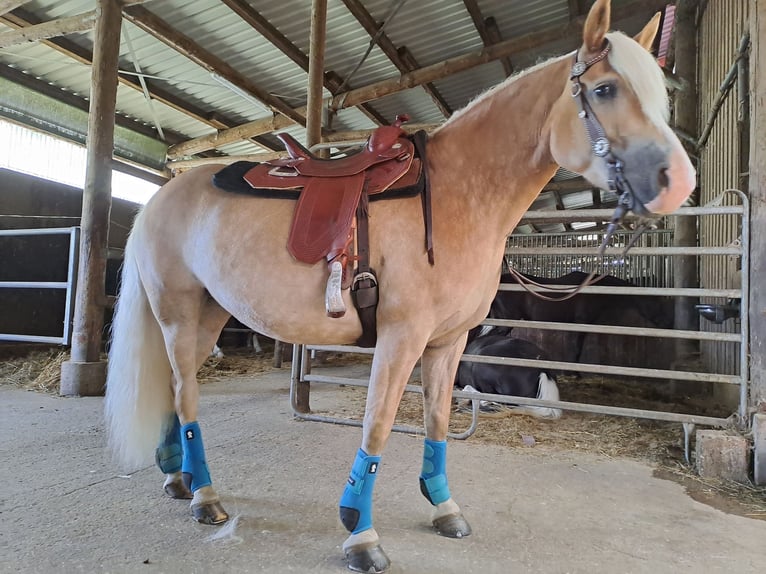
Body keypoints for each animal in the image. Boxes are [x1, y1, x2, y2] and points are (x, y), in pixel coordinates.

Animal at [105, 2, 700, 572]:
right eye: (605, 89)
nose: (679, 182)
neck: (459, 195)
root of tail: (161, 197)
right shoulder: (400, 339)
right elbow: (377, 427)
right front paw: (360, 535)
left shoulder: (449, 343)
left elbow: (437, 422)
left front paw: (444, 508)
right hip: (179, 314)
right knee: (186, 394)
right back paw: (206, 497)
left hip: (208, 315)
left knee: (174, 389)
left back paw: (179, 479)